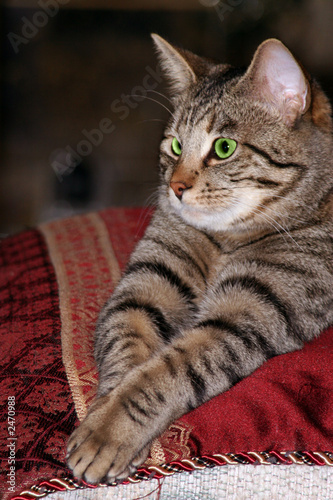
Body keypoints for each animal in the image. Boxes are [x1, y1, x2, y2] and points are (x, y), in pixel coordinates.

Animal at [67, 34, 332, 480]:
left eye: (223, 147)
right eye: (175, 145)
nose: (174, 187)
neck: (227, 238)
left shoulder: (244, 314)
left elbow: (161, 374)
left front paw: (106, 431)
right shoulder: (143, 289)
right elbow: (126, 352)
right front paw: (102, 411)